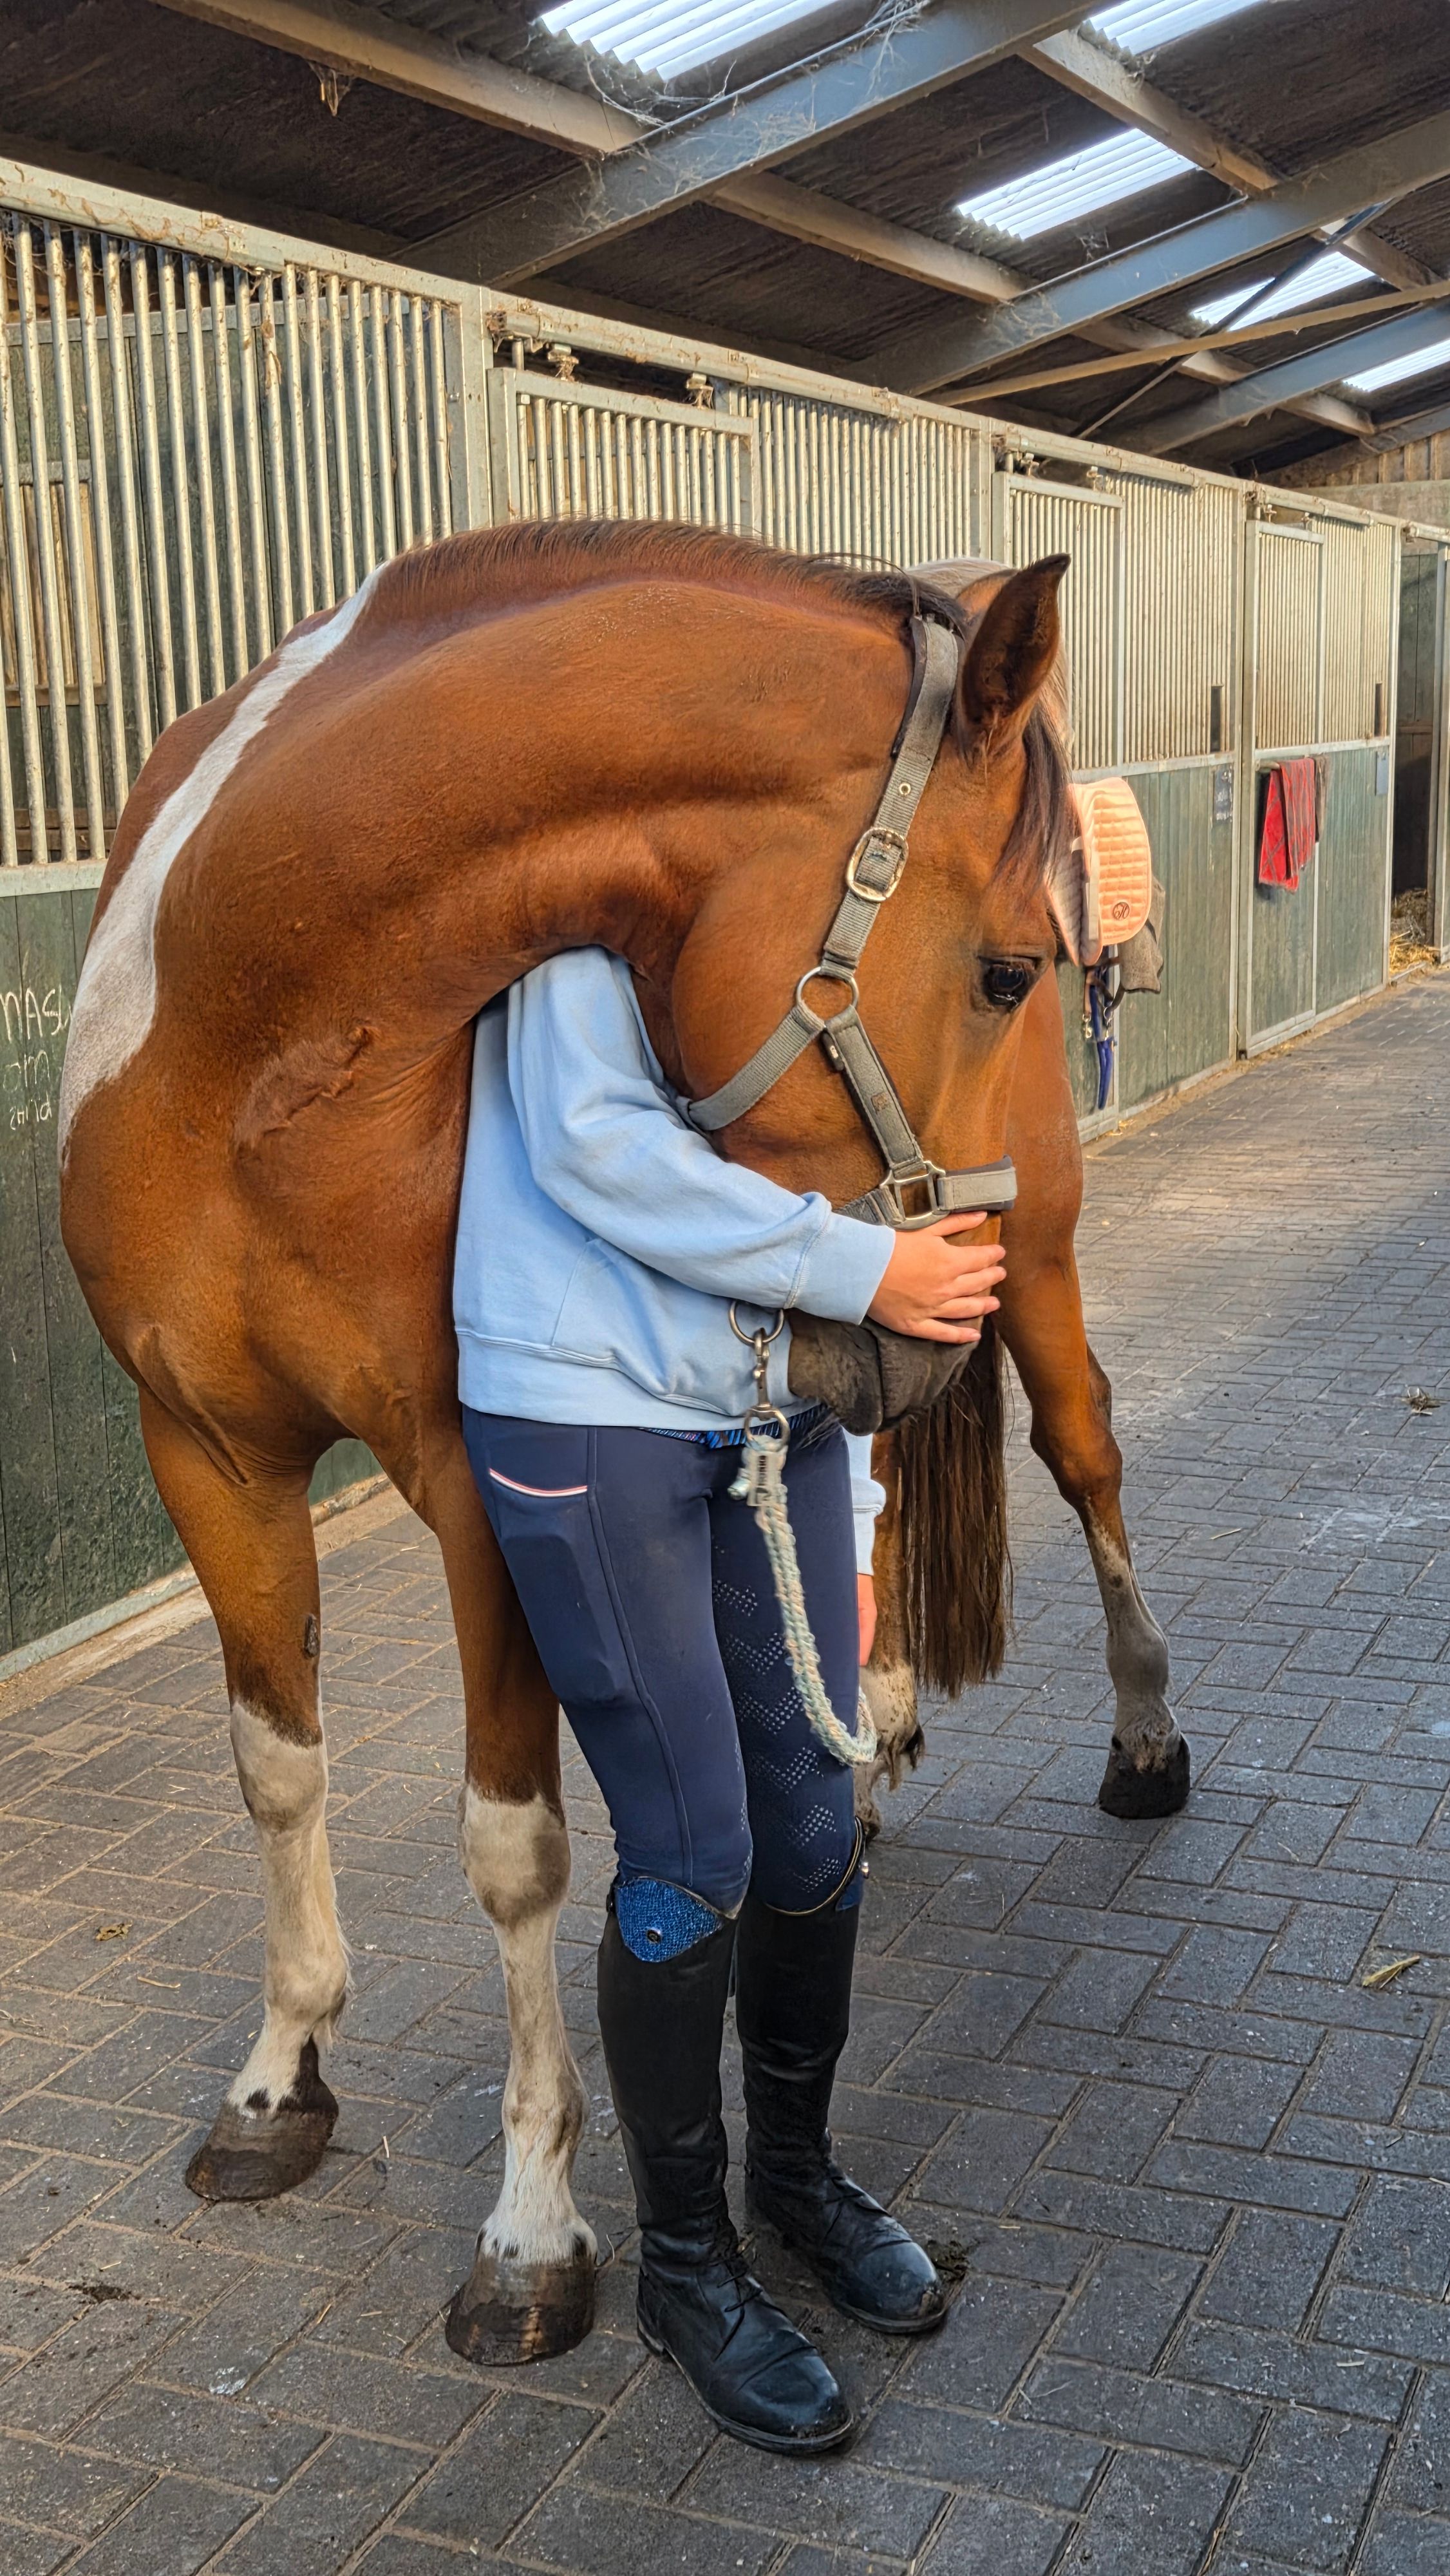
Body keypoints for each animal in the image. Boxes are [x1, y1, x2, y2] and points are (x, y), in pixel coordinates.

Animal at [57, 520, 1184, 2370]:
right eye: (999, 967)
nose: (908, 1322)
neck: (248, 1035)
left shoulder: (474, 1491)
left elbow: (516, 1854)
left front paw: (530, 2231)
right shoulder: (205, 1451)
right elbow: (275, 1766)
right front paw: (279, 2082)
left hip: (1035, 1266)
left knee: (1081, 1459)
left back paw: (1144, 1739)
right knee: (861, 1516)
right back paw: (864, 1746)